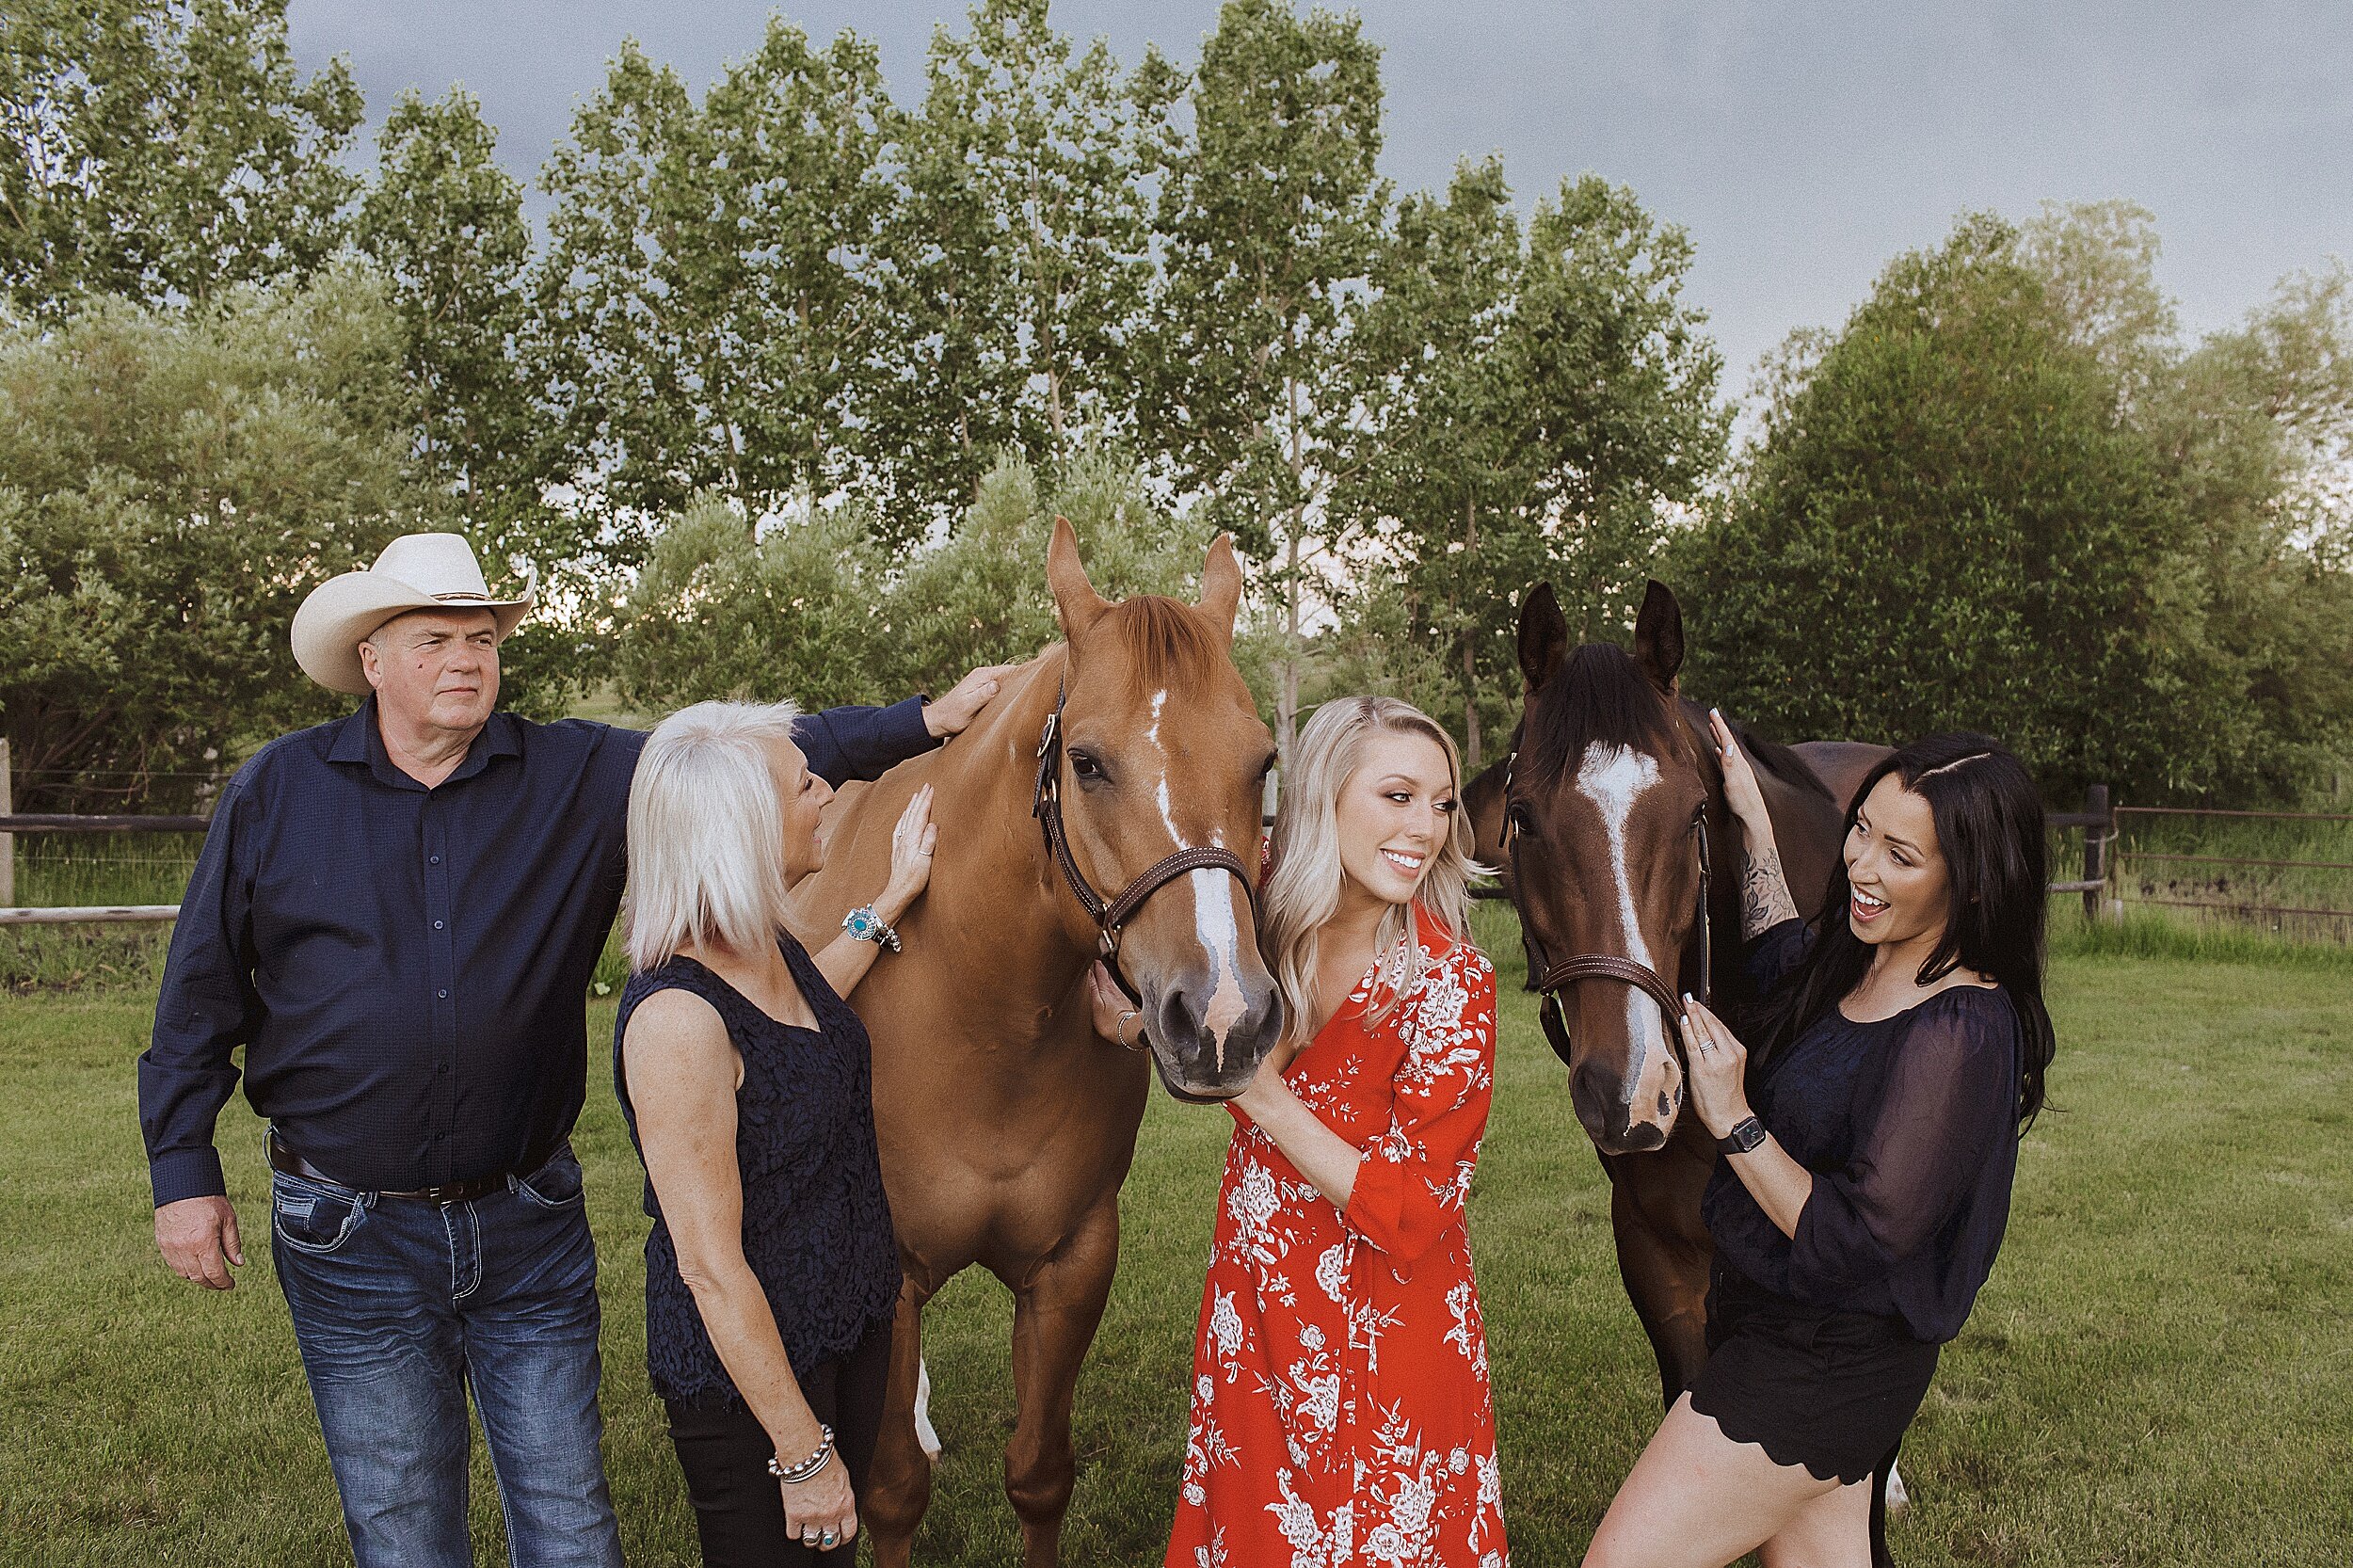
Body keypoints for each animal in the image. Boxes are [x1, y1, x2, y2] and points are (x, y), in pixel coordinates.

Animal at [791, 522, 1280, 1562]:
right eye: (1087, 762)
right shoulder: (887, 1277)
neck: (983, 1021)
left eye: (1261, 761)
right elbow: (893, 1489)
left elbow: (1039, 1473)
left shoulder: (1071, 1261)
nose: (1224, 1018)